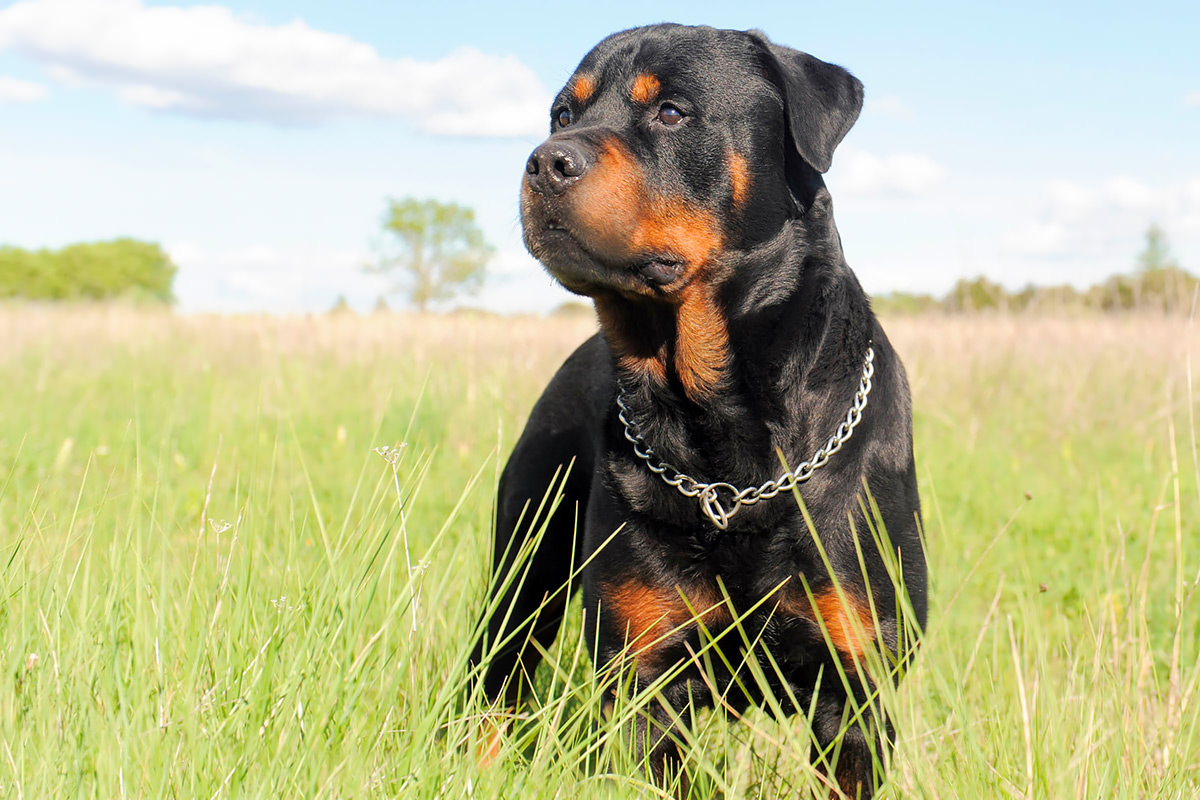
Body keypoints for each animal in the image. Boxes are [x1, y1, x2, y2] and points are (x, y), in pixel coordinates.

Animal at [470, 21, 926, 796]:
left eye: (672, 112)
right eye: (563, 114)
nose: (544, 161)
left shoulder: (857, 686)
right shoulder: (644, 674)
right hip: (524, 561)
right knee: (493, 683)